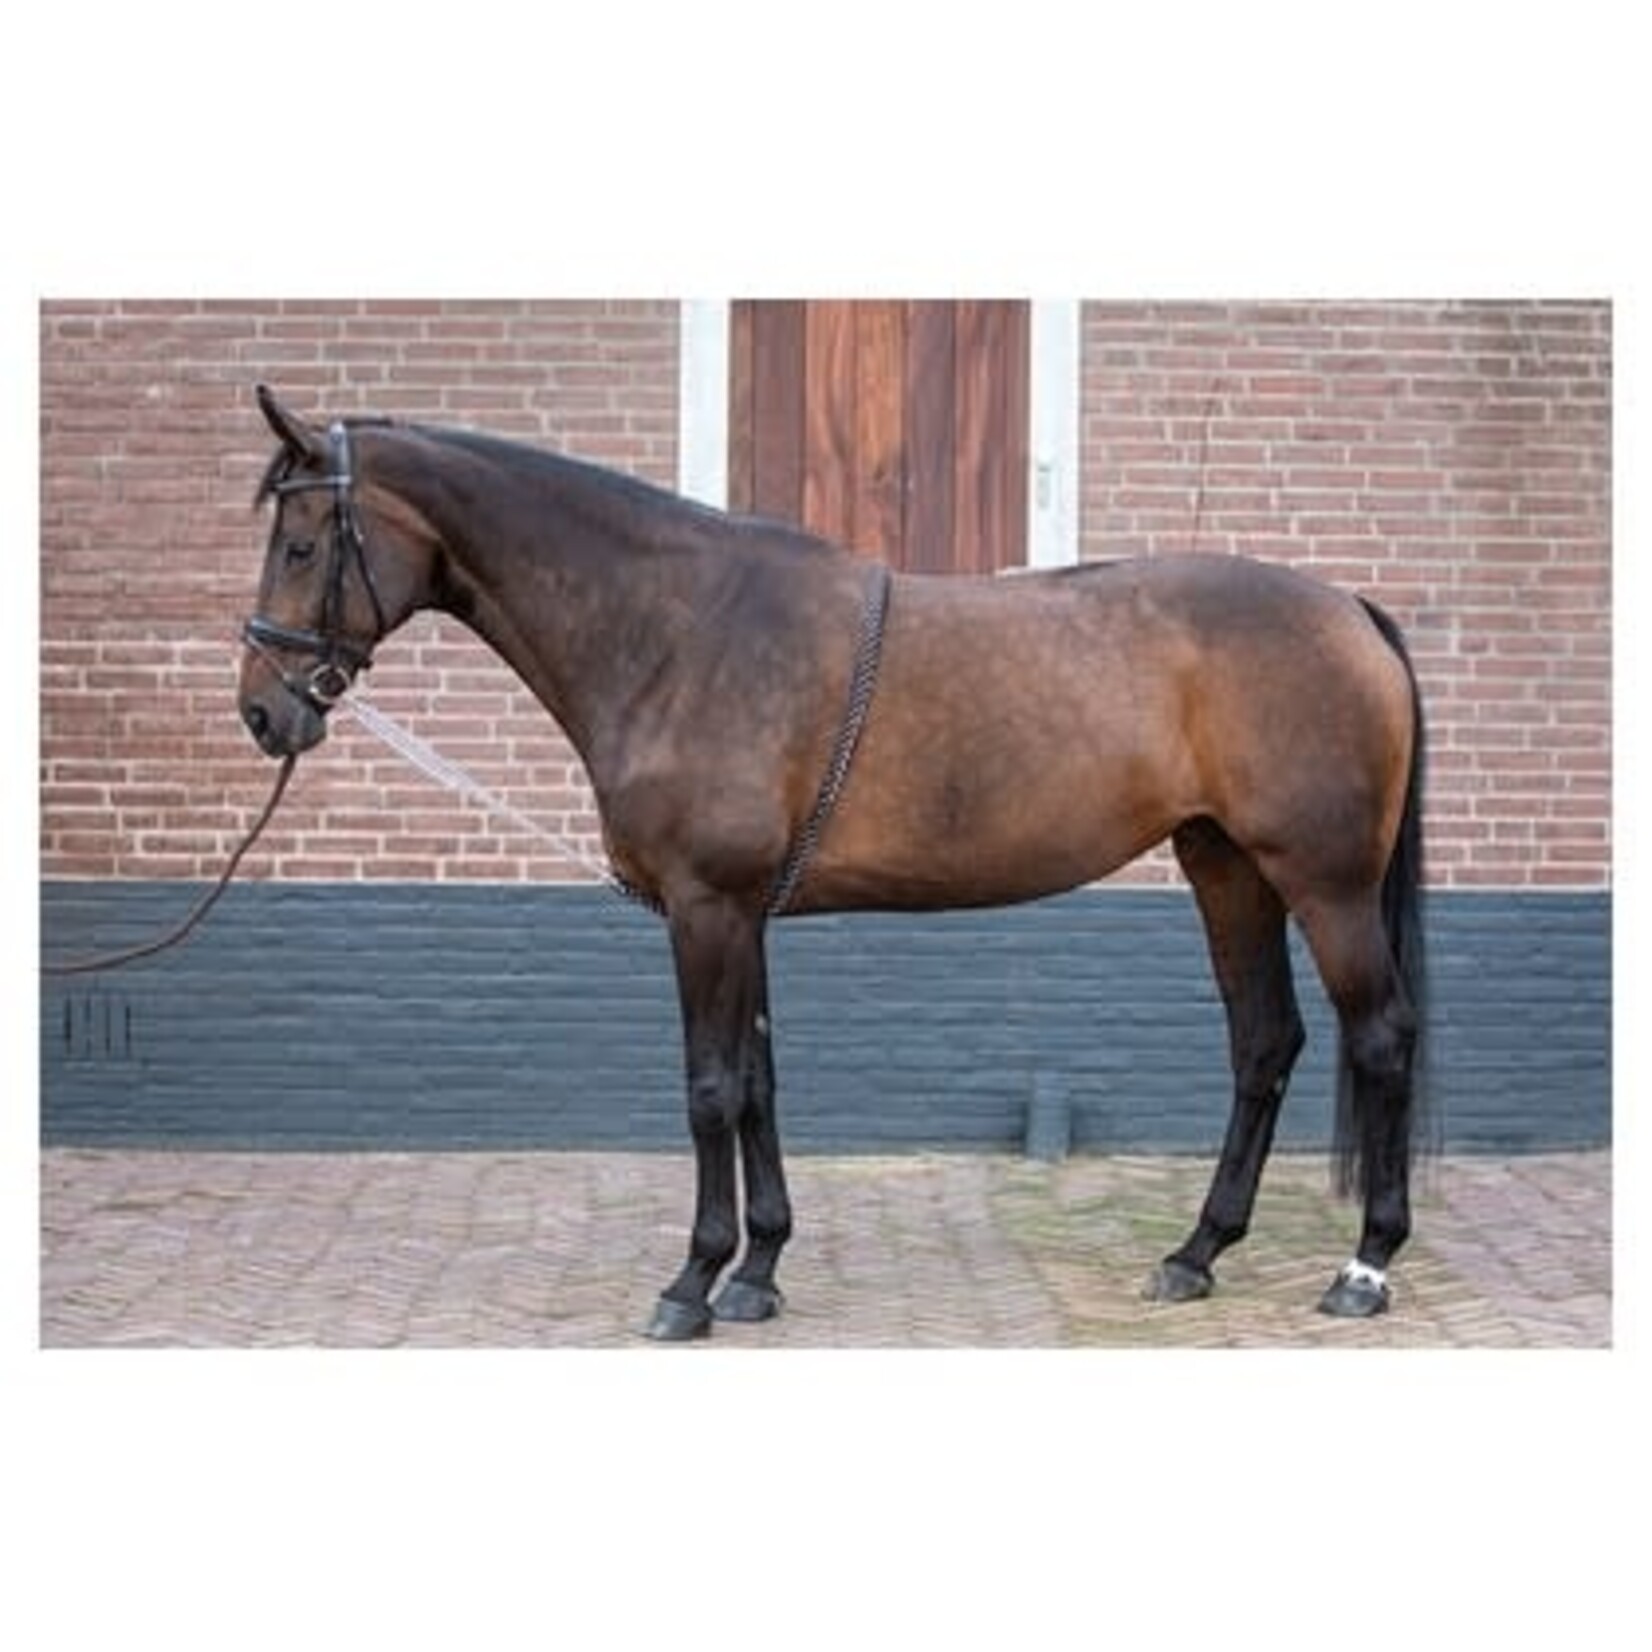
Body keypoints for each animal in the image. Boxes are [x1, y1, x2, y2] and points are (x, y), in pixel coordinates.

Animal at [238, 383, 1428, 1339]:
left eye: (300, 545)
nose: (262, 711)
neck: (679, 630)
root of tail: (1349, 608)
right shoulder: (741, 911)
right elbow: (760, 1080)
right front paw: (758, 1269)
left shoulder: (706, 908)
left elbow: (710, 1087)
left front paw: (691, 1281)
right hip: (1225, 868)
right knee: (1263, 1043)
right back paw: (1194, 1253)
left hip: (1323, 883)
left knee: (1379, 1037)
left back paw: (1364, 1265)